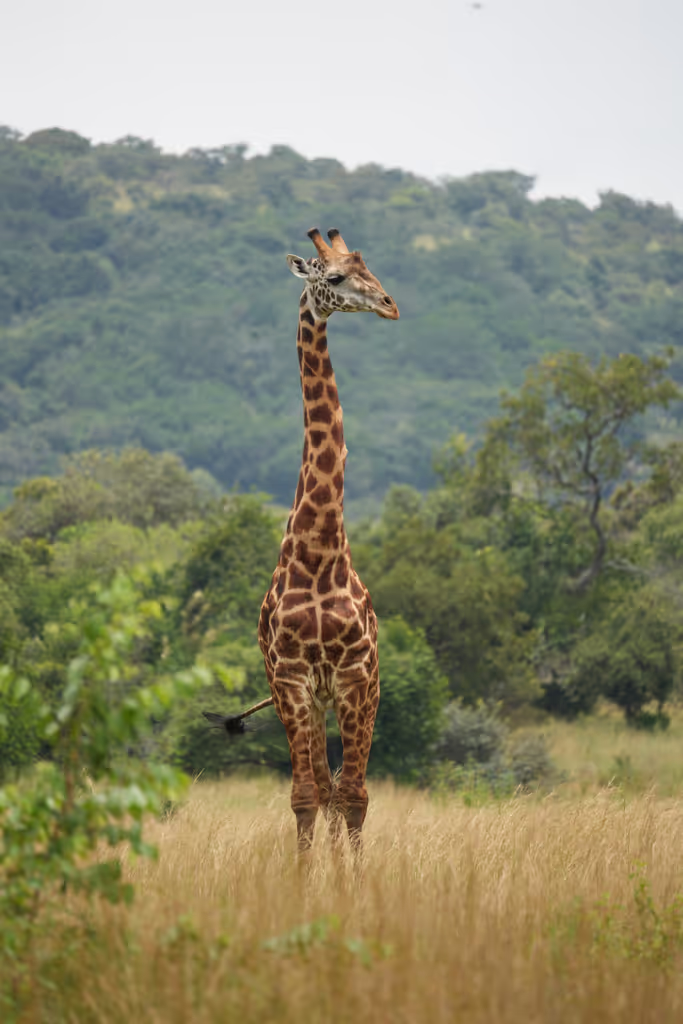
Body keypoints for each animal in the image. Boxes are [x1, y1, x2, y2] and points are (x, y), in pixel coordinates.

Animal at [207, 228, 399, 851]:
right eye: (334, 278)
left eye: (370, 267)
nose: (389, 305)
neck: (320, 552)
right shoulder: (292, 679)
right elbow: (305, 796)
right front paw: (305, 875)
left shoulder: (357, 677)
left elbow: (355, 795)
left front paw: (352, 877)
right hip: (306, 699)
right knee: (321, 784)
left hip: (346, 692)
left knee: (341, 787)